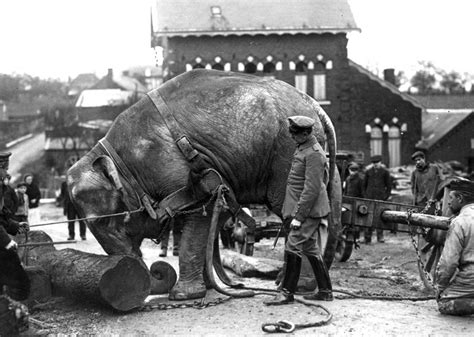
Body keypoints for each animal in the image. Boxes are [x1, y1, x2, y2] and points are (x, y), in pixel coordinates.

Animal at [67, 68, 340, 300]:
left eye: (102, 222)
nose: (156, 271)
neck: (116, 157)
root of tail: (315, 106)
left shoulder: (178, 169)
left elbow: (200, 212)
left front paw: (183, 296)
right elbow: (212, 219)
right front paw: (210, 289)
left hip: (286, 154)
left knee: (291, 211)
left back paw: (296, 287)